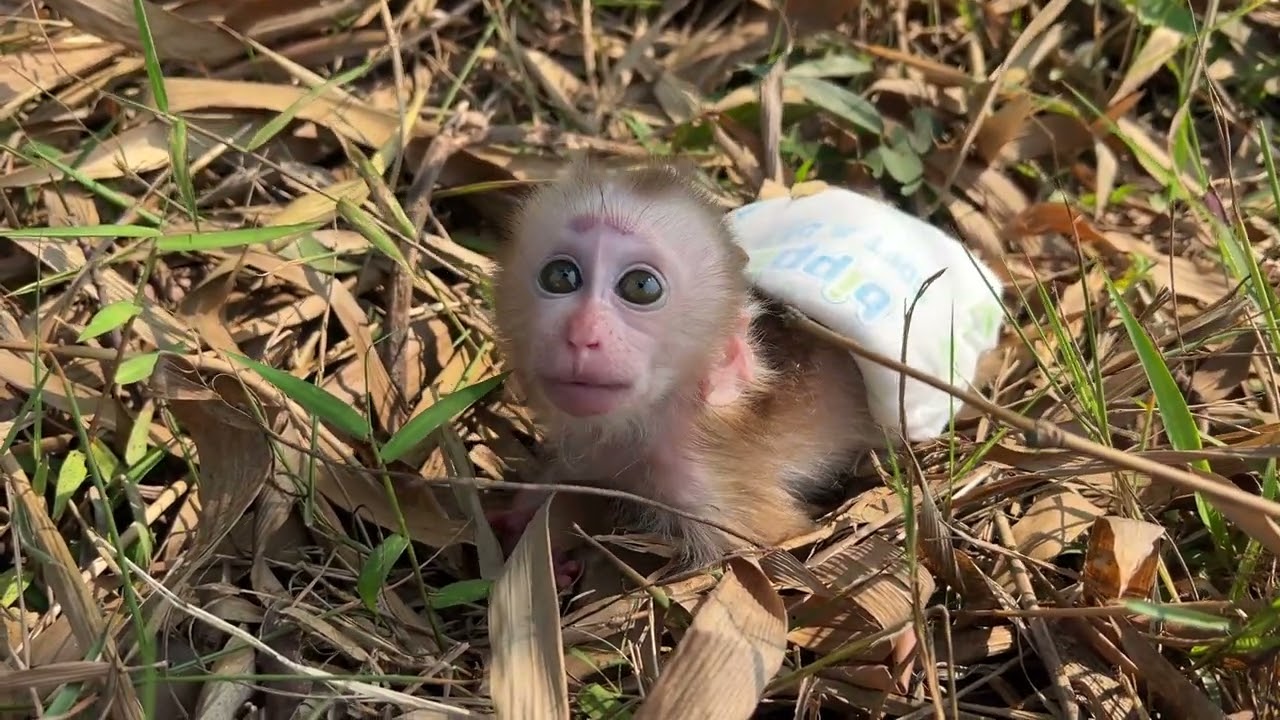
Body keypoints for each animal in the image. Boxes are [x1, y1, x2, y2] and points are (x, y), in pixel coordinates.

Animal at [484, 159, 888, 586]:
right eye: (561, 276)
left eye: (640, 286)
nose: (581, 334)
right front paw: (521, 522)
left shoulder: (705, 483)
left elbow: (776, 546)